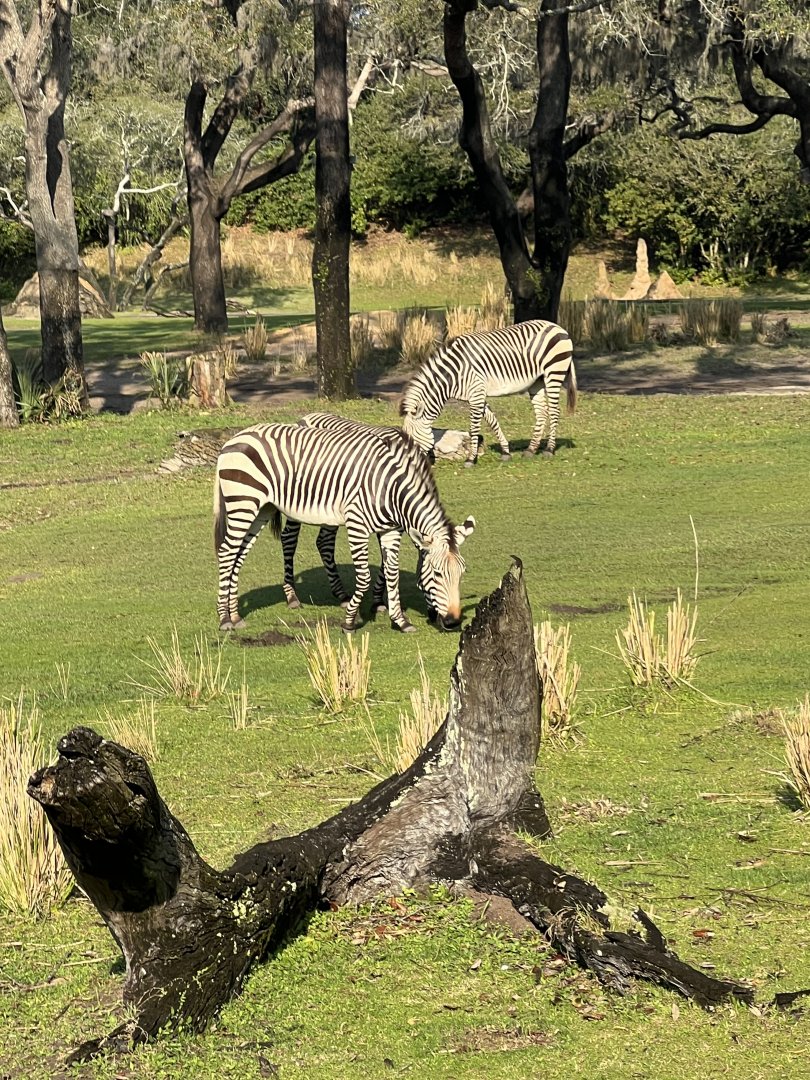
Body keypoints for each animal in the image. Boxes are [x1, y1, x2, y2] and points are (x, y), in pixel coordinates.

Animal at [214, 422, 475, 633]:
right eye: (437, 573)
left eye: (462, 573)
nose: (453, 622)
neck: (391, 487)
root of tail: (234, 438)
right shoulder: (356, 524)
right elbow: (364, 577)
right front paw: (350, 620)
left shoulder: (390, 529)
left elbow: (392, 572)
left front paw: (400, 621)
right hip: (243, 502)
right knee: (227, 552)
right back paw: (225, 618)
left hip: (262, 509)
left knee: (238, 555)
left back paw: (236, 615)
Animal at [399, 319, 577, 466]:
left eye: (412, 440)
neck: (453, 373)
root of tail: (558, 327)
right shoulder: (477, 395)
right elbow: (492, 421)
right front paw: (505, 452)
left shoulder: (476, 394)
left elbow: (474, 427)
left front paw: (471, 459)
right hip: (537, 381)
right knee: (541, 413)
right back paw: (531, 450)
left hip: (554, 372)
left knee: (554, 411)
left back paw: (549, 449)